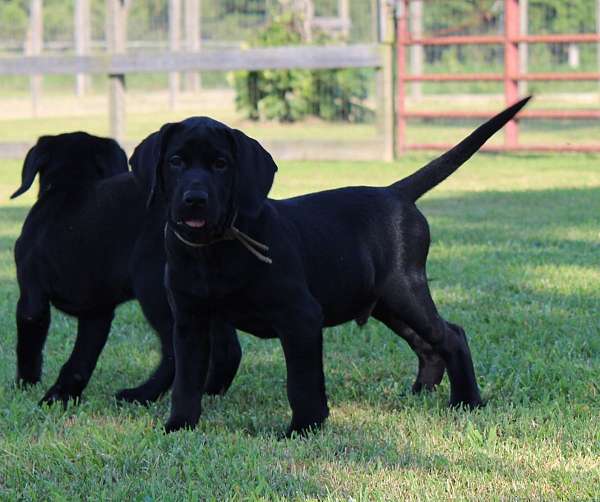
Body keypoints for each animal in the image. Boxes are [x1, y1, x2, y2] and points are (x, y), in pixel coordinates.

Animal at [12, 134, 240, 408]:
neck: (70, 184)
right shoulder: (97, 311)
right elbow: (82, 358)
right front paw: (62, 394)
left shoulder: (31, 297)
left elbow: (29, 344)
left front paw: (26, 384)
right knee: (228, 350)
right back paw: (207, 392)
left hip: (155, 289)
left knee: (174, 352)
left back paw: (140, 394)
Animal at [131, 97, 528, 436]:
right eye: (176, 162)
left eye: (220, 164)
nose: (194, 200)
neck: (215, 248)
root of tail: (395, 192)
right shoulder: (190, 321)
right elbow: (186, 381)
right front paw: (179, 425)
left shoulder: (300, 317)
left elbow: (302, 382)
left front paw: (304, 427)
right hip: (386, 303)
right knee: (428, 345)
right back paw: (419, 393)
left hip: (405, 290)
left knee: (452, 336)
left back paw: (466, 401)